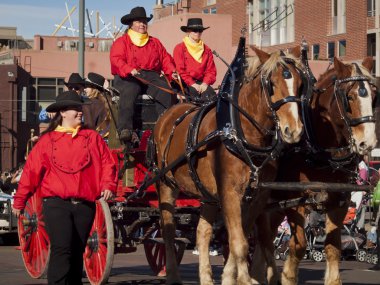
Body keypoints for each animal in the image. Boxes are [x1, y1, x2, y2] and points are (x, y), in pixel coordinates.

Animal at [153, 42, 304, 284]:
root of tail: (167, 115)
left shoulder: (257, 196)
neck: (241, 132)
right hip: (166, 184)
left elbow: (238, 238)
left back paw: (206, 278)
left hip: (207, 193)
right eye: (271, 84)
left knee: (203, 233)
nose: (294, 130)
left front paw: (229, 277)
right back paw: (173, 275)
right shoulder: (229, 192)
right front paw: (243, 279)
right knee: (167, 230)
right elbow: (239, 243)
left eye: (300, 84)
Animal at [252, 56, 378, 284]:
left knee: (265, 240)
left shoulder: (339, 201)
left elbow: (333, 247)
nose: (368, 143)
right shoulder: (296, 201)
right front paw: (287, 276)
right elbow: (299, 247)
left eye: (374, 96)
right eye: (349, 96)